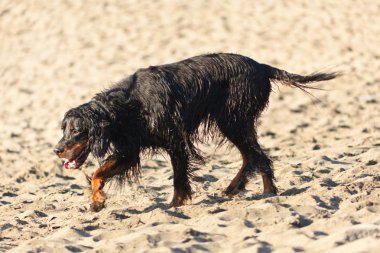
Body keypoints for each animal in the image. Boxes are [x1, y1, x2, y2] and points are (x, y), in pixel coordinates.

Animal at [54, 53, 338, 211]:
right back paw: (242, 189)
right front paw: (96, 201)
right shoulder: (129, 150)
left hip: (233, 120)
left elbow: (179, 176)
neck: (127, 105)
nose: (57, 149)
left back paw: (265, 192)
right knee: (253, 156)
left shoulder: (175, 141)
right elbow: (97, 174)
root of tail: (261, 66)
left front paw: (176, 204)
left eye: (77, 131)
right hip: (236, 122)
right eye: (64, 128)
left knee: (256, 155)